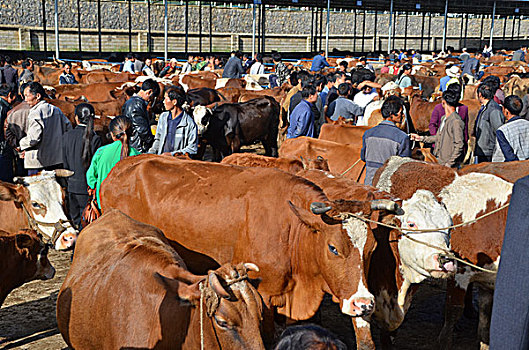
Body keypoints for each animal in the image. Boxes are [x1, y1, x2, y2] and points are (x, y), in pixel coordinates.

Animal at [99, 156, 406, 350]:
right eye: (333, 248)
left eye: (371, 249)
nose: (363, 304)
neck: (289, 227)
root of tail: (119, 169)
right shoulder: (264, 297)